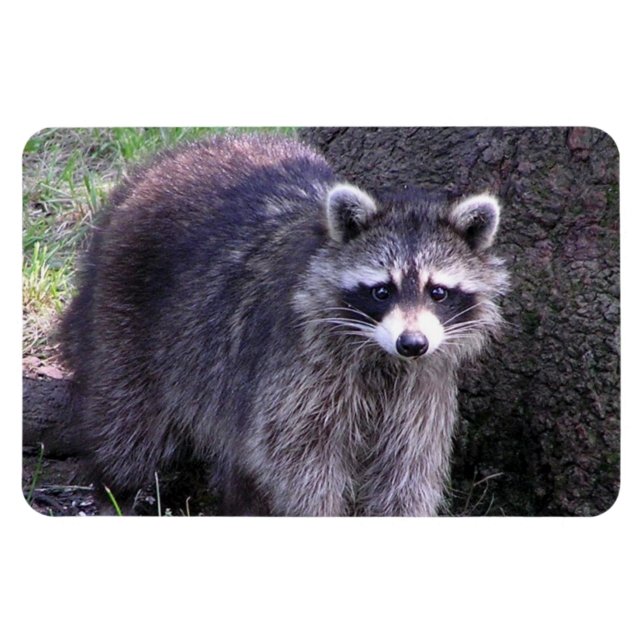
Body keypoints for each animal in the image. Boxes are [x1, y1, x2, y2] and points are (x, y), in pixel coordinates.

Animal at [60, 134, 509, 516]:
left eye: (438, 292)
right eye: (382, 291)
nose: (412, 343)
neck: (380, 356)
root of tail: (163, 164)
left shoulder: (421, 386)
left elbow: (409, 467)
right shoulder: (300, 368)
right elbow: (297, 458)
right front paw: (318, 512)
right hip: (125, 312)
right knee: (125, 421)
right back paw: (115, 489)